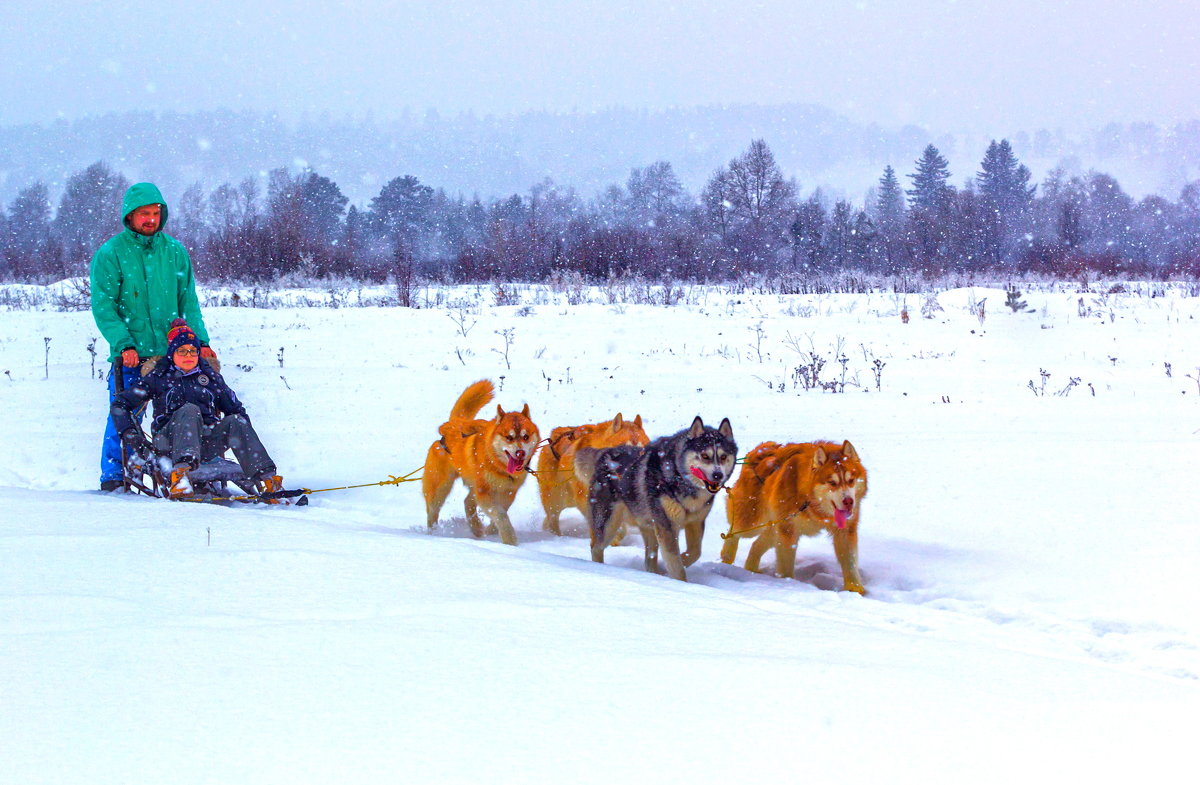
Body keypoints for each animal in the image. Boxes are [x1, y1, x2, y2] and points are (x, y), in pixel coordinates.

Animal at [420, 381, 537, 547]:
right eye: (509, 437)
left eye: (525, 436)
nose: (520, 453)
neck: (498, 466)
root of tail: (453, 423)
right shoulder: (484, 493)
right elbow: (501, 515)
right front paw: (510, 539)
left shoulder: (508, 492)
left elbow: (501, 513)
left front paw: (491, 531)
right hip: (440, 488)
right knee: (432, 511)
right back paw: (434, 533)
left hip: (474, 485)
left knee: (467, 502)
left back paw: (476, 528)